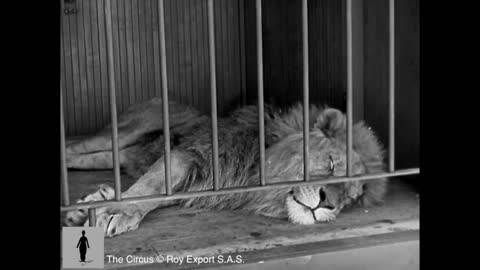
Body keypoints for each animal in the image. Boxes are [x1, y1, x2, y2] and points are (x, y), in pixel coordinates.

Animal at [63, 98, 386, 236]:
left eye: (349, 200)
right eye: (331, 164)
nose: (329, 204)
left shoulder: (198, 184)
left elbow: (157, 193)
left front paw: (92, 205)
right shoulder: (190, 155)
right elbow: (152, 185)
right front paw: (115, 210)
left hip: (113, 154)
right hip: (120, 133)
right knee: (70, 147)